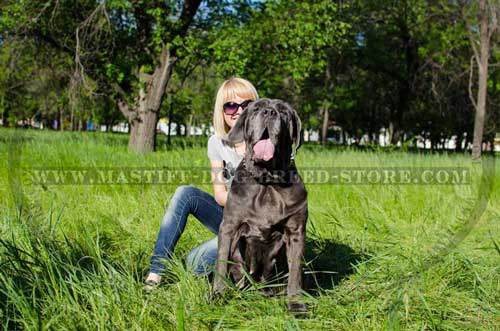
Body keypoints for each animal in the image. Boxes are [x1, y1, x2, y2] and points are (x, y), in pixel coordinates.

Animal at [212, 98, 306, 314]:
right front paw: (218, 295)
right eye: (256, 108)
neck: (267, 181)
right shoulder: (229, 227)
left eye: (284, 112)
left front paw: (296, 303)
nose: (269, 112)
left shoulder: (296, 231)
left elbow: (295, 270)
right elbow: (222, 261)